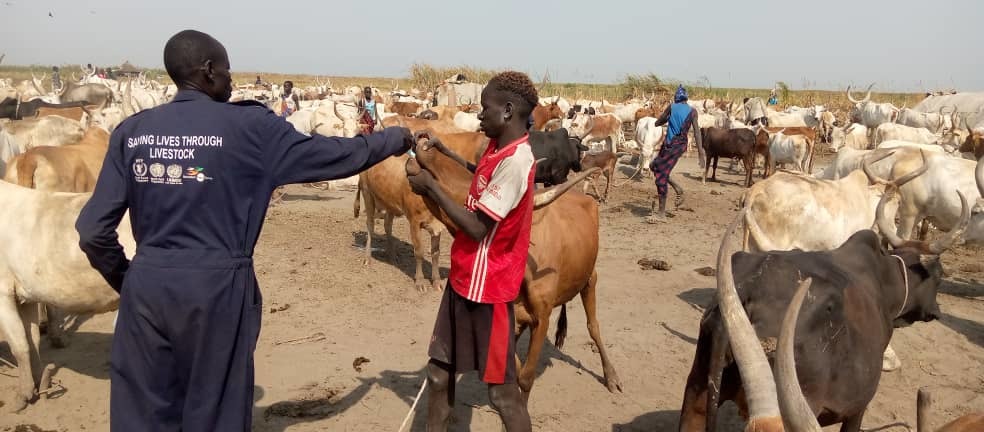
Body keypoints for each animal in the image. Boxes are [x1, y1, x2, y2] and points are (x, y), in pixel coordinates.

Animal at [408, 138, 624, 398]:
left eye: (476, 195)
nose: (426, 146)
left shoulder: (542, 318)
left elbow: (526, 377)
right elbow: (513, 367)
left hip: (590, 278)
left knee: (594, 326)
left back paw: (611, 376)